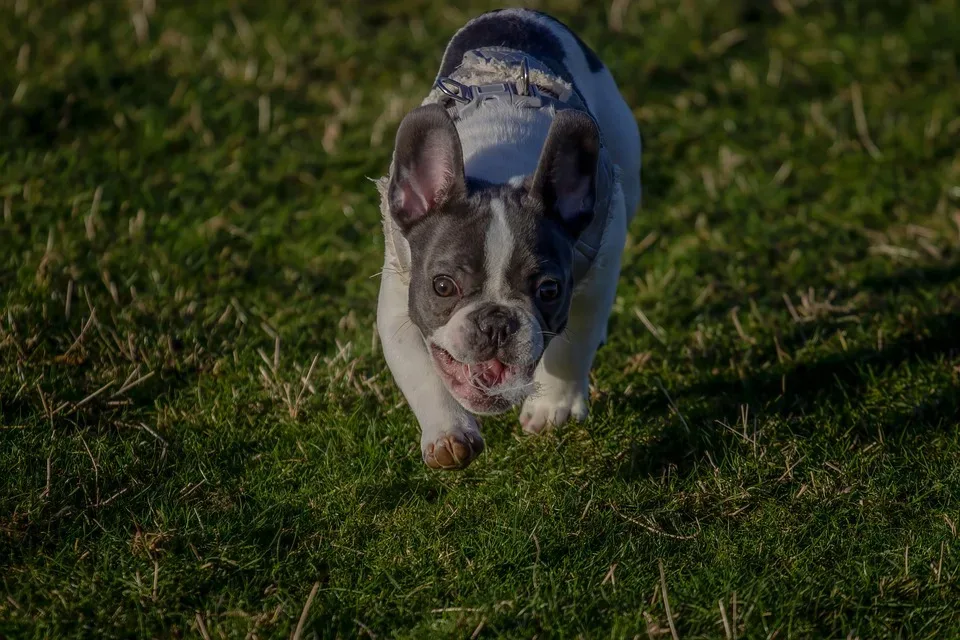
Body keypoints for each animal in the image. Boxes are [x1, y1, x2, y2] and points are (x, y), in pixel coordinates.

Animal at [378, 8, 640, 470]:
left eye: (549, 290)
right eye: (442, 286)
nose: (497, 322)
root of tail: (517, 12)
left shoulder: (597, 269)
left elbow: (574, 343)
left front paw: (553, 406)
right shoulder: (398, 298)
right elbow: (420, 371)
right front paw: (448, 434)